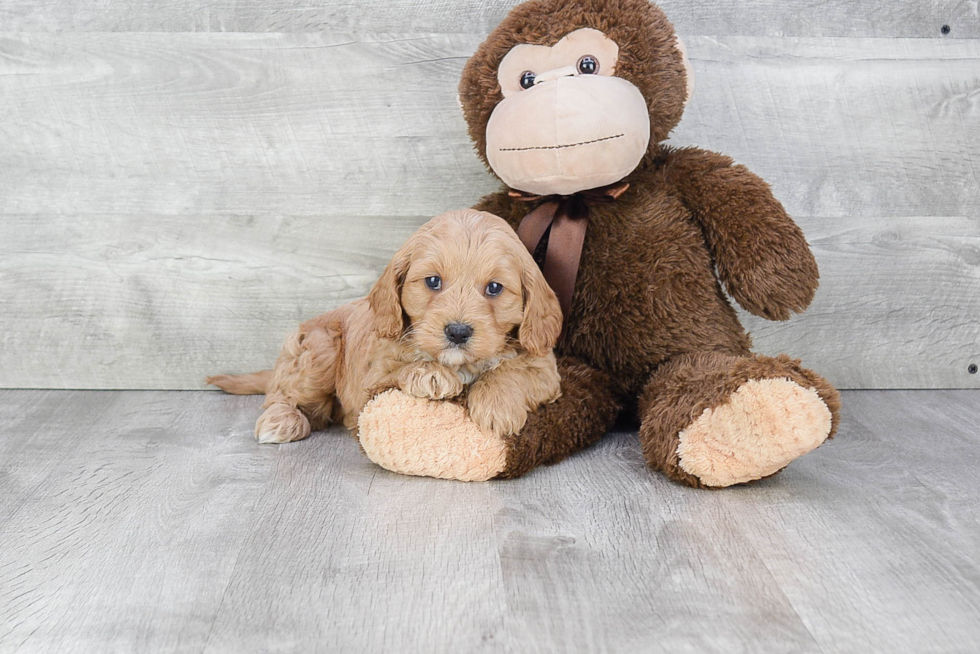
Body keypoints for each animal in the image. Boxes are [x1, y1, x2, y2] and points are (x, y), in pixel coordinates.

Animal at [207, 210, 560, 446]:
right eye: (433, 281)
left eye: (495, 288)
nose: (458, 332)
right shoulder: (369, 380)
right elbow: (399, 370)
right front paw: (429, 374)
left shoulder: (545, 368)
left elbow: (513, 371)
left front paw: (496, 405)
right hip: (319, 347)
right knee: (281, 393)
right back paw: (281, 421)